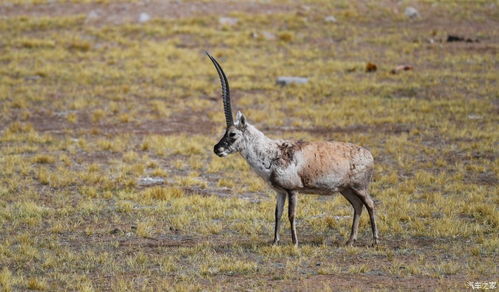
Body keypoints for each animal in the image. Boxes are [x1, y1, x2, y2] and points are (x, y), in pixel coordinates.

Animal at [206, 52, 378, 246]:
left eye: (233, 134)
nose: (217, 149)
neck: (272, 152)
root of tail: (368, 154)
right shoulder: (280, 192)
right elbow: (277, 214)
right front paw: (274, 242)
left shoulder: (293, 190)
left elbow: (291, 214)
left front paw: (295, 243)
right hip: (347, 189)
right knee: (357, 205)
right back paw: (350, 241)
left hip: (359, 187)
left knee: (370, 204)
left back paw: (375, 241)